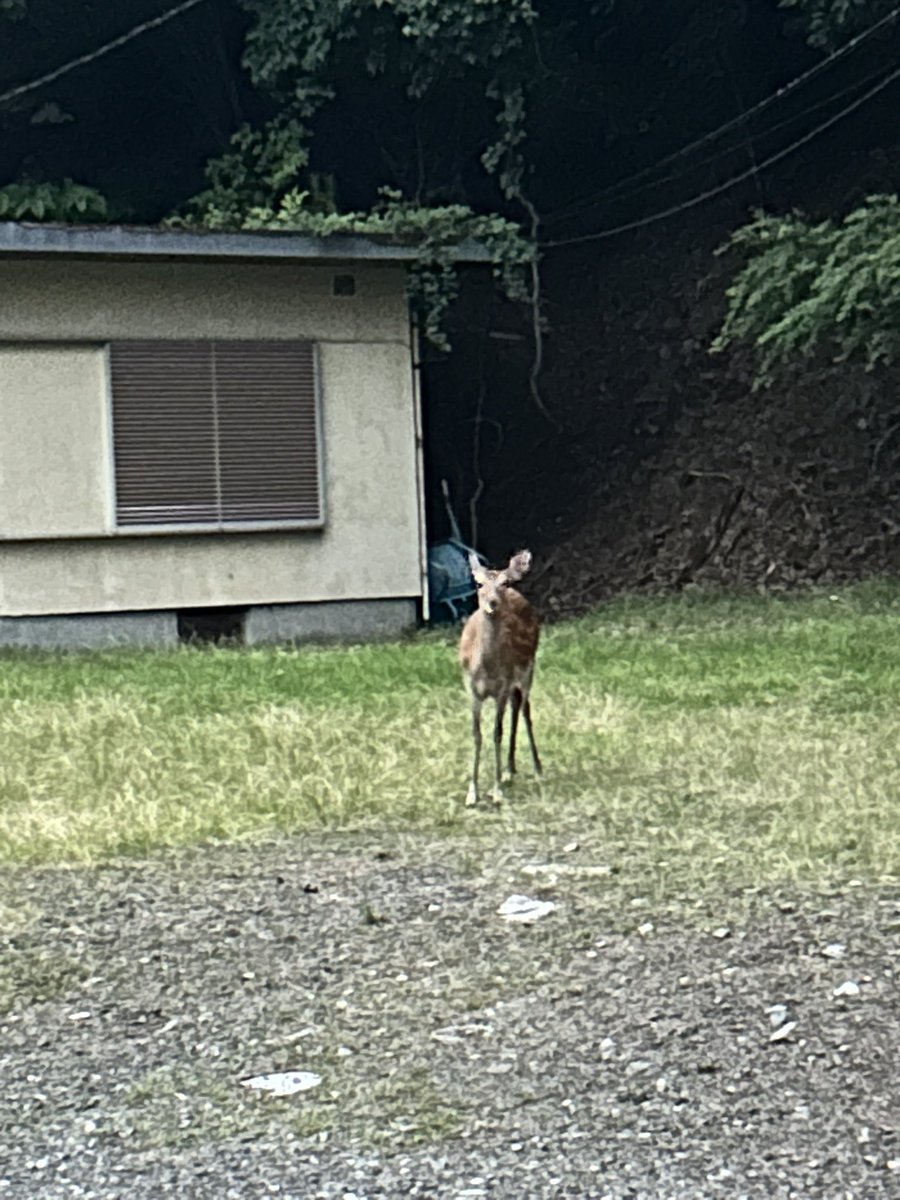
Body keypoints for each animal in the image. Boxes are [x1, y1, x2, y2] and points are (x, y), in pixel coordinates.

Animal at [458, 549, 542, 805]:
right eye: (478, 583)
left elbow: (497, 733)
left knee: (524, 710)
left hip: (528, 668)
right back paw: (509, 769)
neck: (485, 667)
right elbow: (477, 735)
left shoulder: (502, 687)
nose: (492, 603)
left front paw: (496, 791)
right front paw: (472, 792)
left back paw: (536, 767)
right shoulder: (472, 689)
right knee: (517, 708)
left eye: (504, 583)